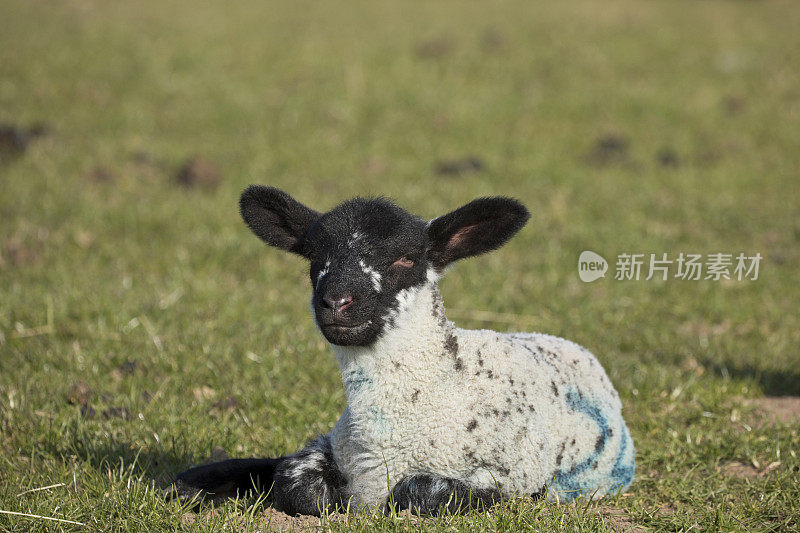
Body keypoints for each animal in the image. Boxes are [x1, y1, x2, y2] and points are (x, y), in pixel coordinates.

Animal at [166, 187, 636, 516]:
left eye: (407, 258)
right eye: (313, 256)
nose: (336, 302)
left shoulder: (509, 474)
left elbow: (419, 492)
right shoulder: (331, 442)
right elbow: (294, 482)